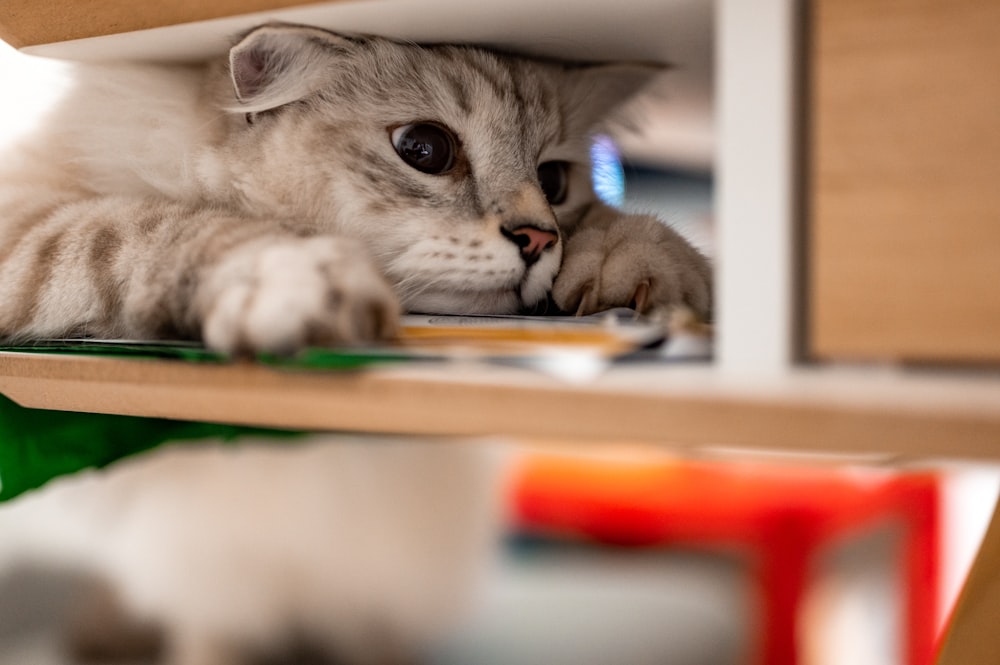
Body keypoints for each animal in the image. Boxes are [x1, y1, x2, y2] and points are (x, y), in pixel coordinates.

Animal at [0, 20, 712, 352]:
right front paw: (301, 280)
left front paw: (641, 258)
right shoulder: (27, 215)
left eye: (553, 180)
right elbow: (148, 227)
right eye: (425, 151)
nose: (538, 240)